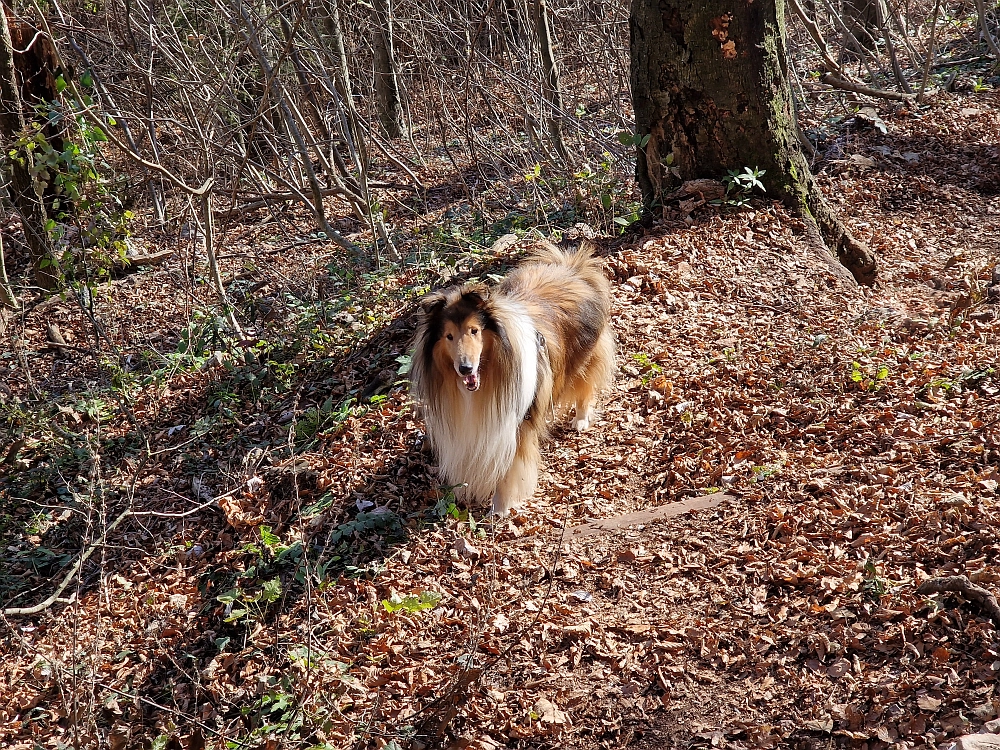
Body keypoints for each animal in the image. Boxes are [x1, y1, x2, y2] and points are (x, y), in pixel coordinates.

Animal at [408, 241, 612, 516]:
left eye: (474, 330)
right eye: (448, 336)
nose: (465, 368)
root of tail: (571, 267)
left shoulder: (514, 426)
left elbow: (508, 471)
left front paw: (500, 509)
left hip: (584, 359)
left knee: (585, 388)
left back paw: (581, 419)